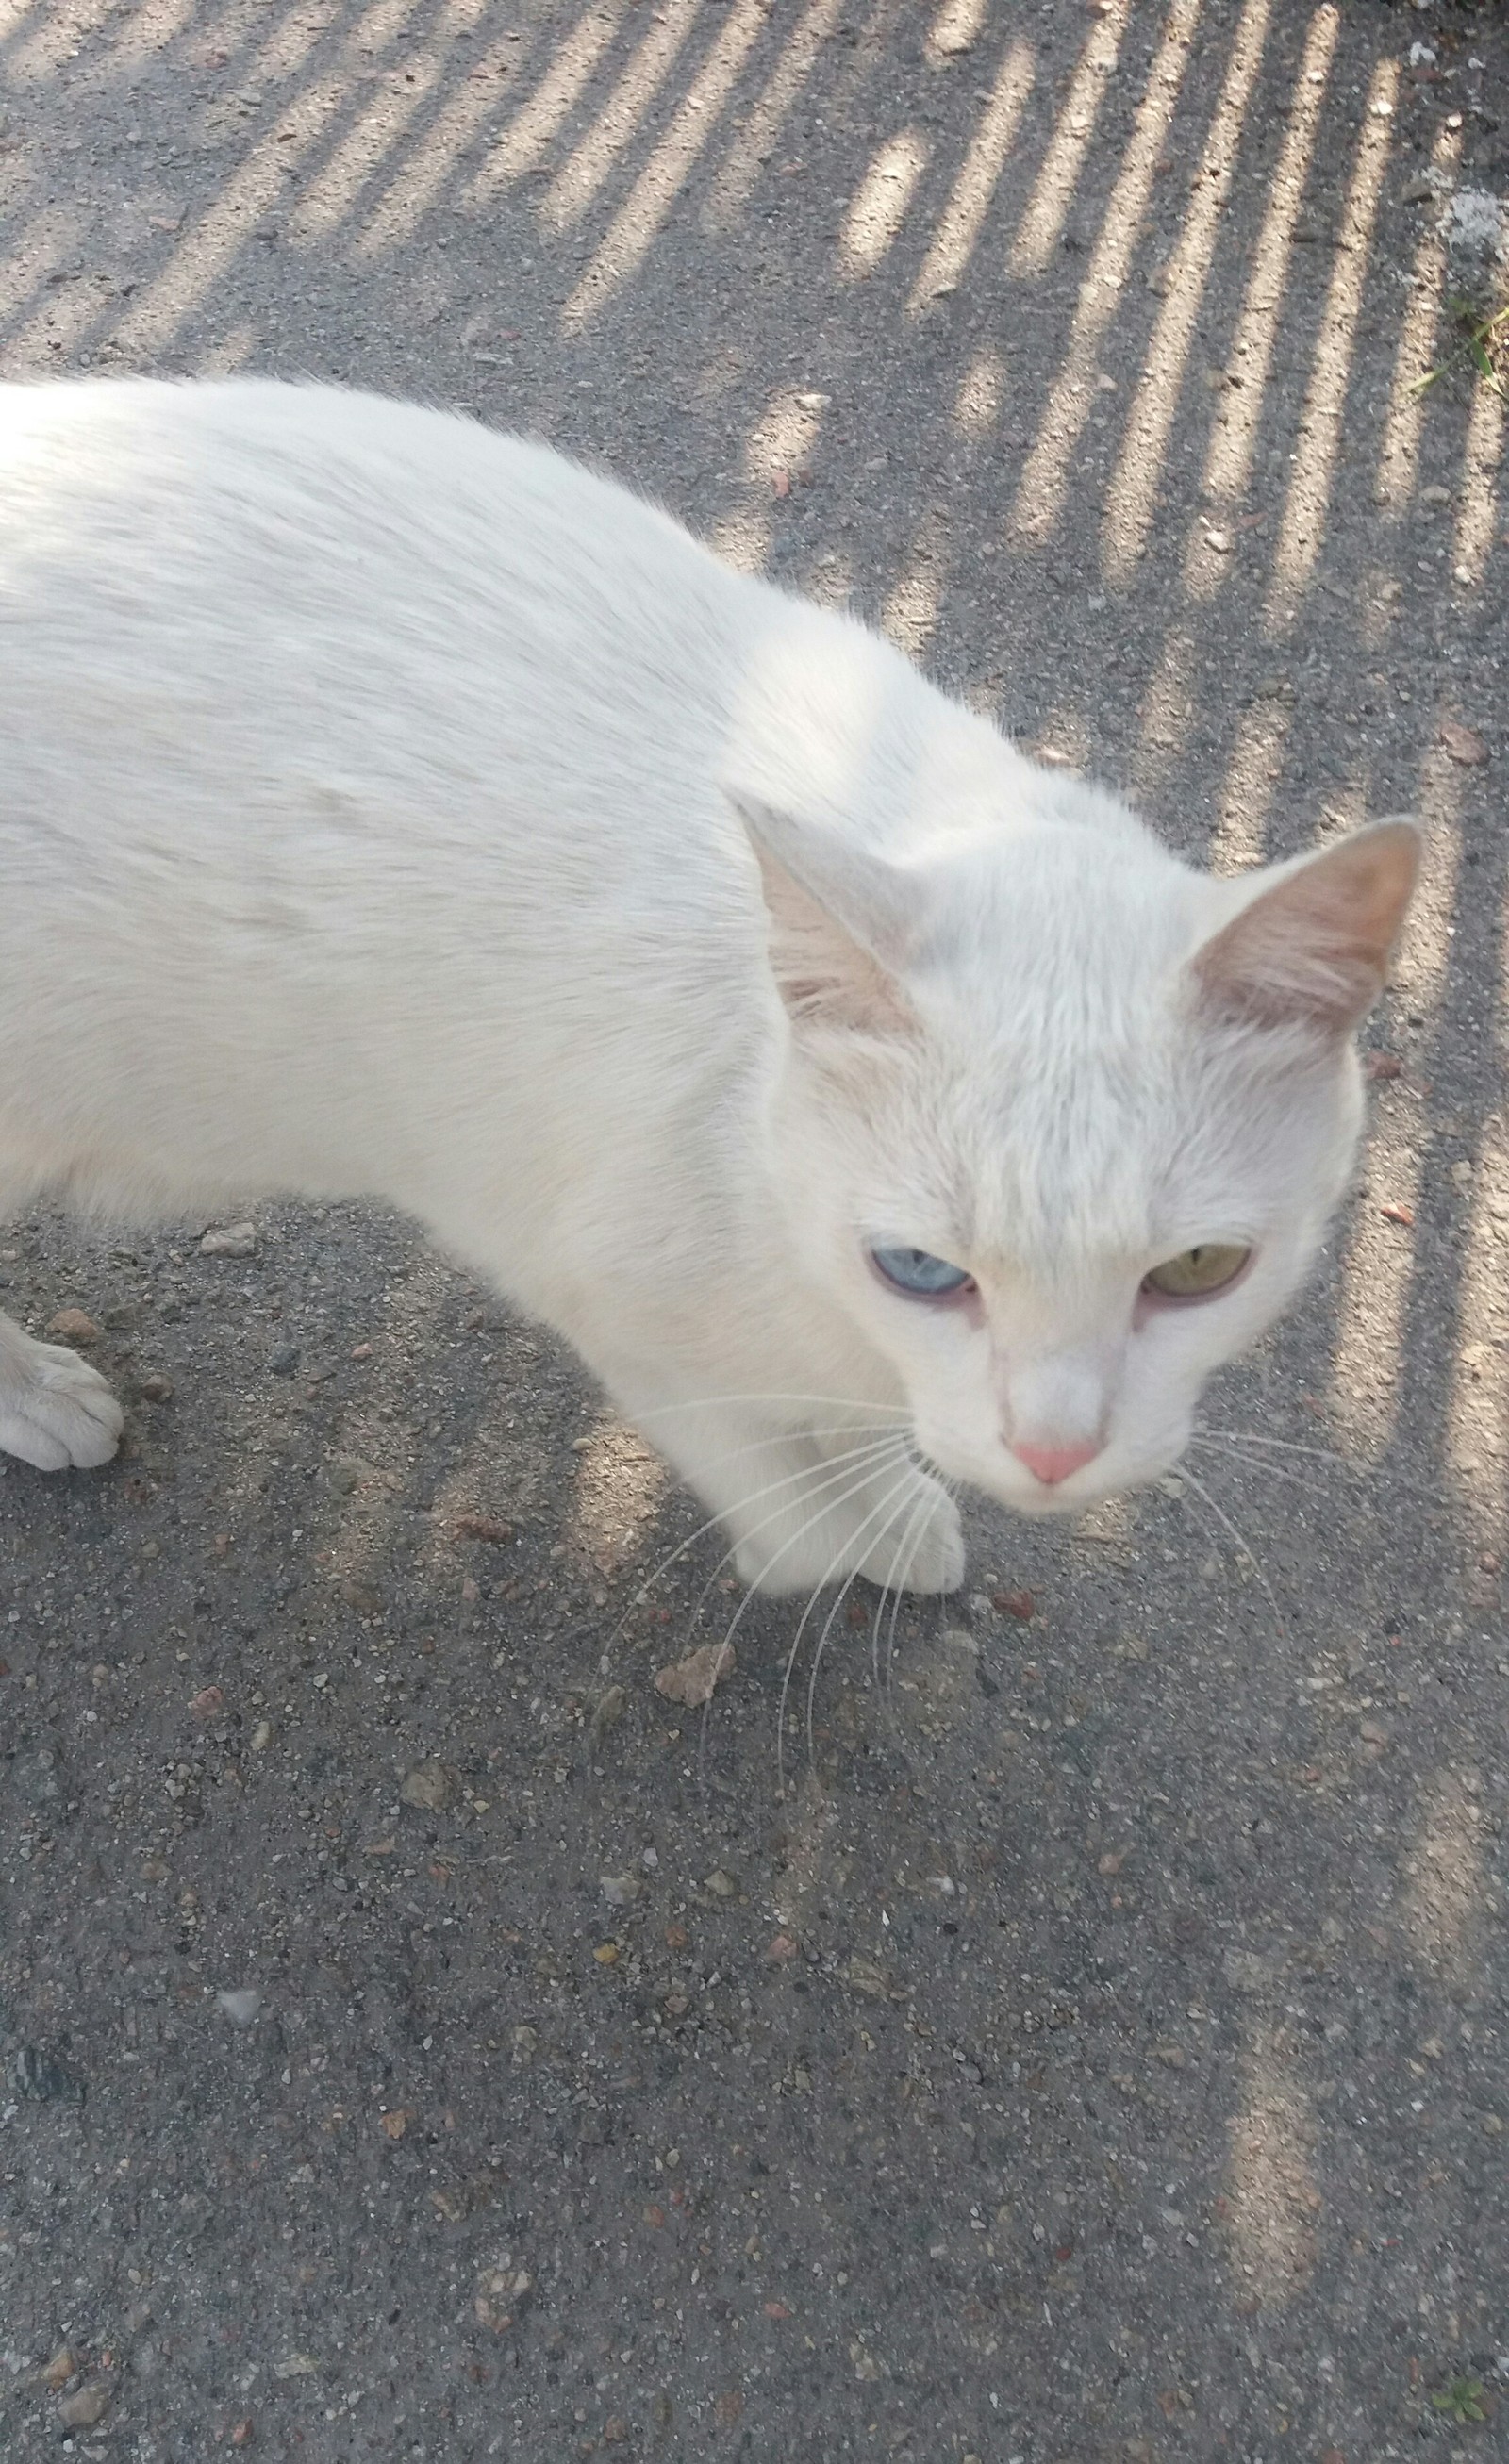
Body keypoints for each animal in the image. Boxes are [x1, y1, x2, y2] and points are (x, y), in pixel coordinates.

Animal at [0, 374, 1410, 1586]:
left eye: (1197, 1272)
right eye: (921, 1270)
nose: (1053, 1451)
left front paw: (897, 1496)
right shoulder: (617, 1305)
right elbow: (786, 1513)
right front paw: (859, 1532)